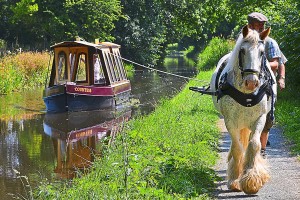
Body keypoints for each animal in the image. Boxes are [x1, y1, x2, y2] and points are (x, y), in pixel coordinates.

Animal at [210, 25, 276, 194]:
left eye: (262, 52)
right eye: (242, 51)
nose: (251, 82)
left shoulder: (260, 118)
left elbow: (253, 145)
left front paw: (252, 180)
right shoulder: (230, 121)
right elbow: (238, 148)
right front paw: (234, 180)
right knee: (237, 144)